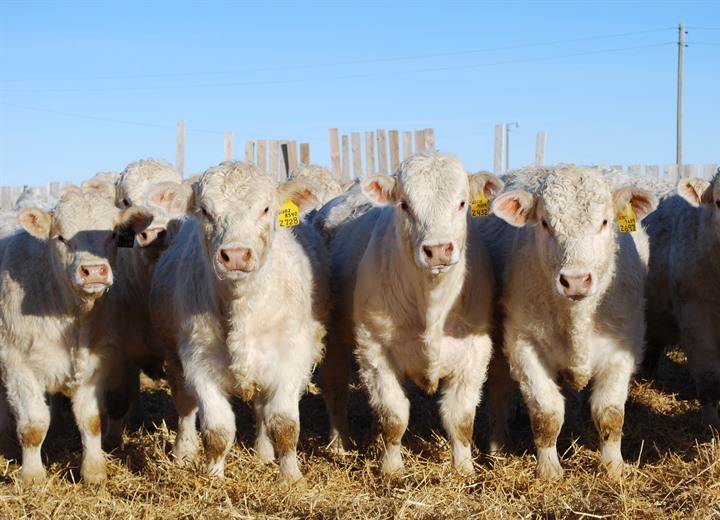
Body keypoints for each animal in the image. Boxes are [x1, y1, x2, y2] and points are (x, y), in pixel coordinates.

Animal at [0, 191, 152, 485]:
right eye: (60, 237)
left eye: (113, 235)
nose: (93, 271)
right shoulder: (17, 365)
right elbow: (33, 425)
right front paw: (32, 477)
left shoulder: (96, 364)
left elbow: (91, 420)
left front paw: (93, 471)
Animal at [149, 161, 328, 482]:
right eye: (204, 210)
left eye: (266, 208)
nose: (234, 255)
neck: (242, 310)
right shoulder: (198, 362)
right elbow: (217, 431)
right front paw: (213, 478)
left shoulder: (292, 357)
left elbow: (284, 424)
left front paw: (291, 476)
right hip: (174, 356)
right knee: (185, 405)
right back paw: (184, 452)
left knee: (262, 410)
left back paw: (263, 453)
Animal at [317, 152, 504, 476]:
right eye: (404, 204)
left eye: (462, 203)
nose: (438, 250)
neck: (432, 306)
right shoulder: (374, 350)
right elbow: (393, 416)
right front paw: (392, 469)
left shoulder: (475, 351)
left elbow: (460, 418)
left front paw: (464, 468)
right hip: (334, 340)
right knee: (336, 389)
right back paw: (340, 444)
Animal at [487, 163, 658, 480]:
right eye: (544, 223)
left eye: (605, 222)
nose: (576, 280)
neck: (577, 318)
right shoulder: (524, 346)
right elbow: (547, 413)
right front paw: (549, 469)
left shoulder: (623, 347)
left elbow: (609, 413)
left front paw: (613, 467)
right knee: (499, 392)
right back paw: (498, 446)